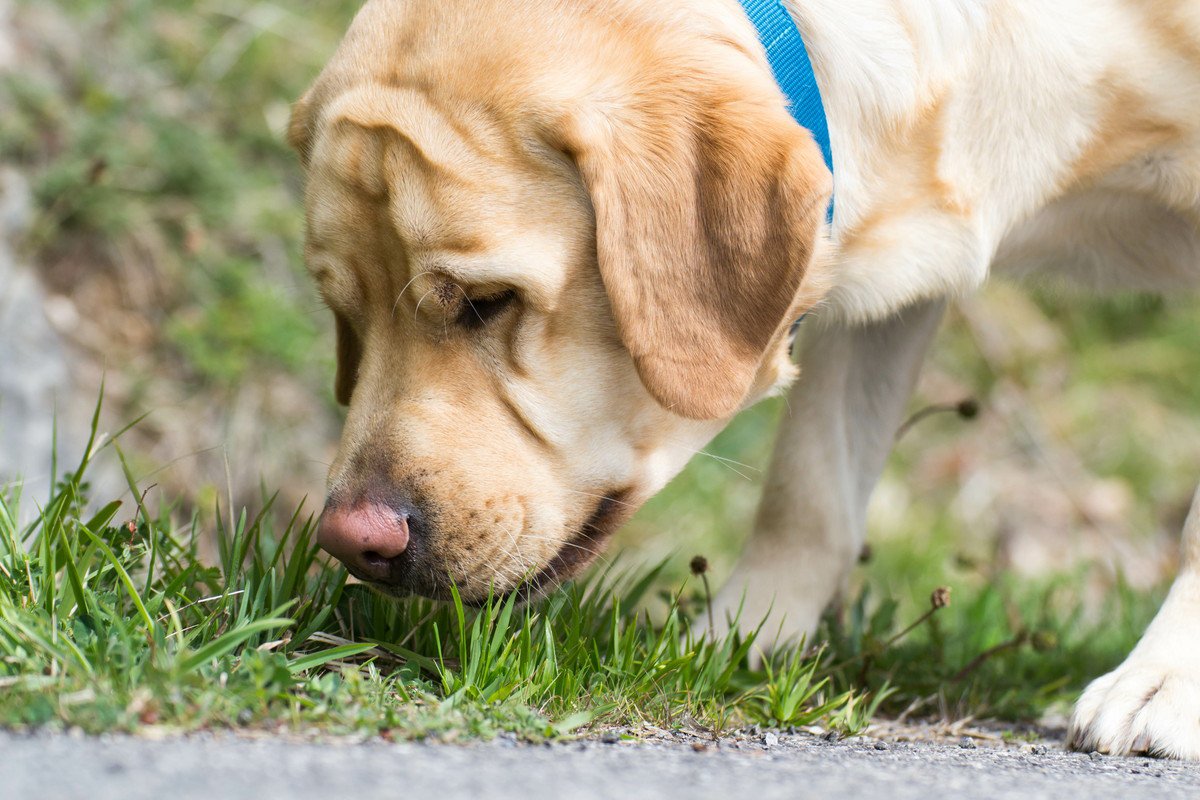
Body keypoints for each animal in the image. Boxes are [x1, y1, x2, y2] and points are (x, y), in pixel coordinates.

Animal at [290, 0, 1200, 762]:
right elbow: (810, 490)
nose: (351, 541)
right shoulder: (881, 293)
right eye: (345, 314)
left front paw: (1168, 684)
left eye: (486, 302)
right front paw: (735, 642)